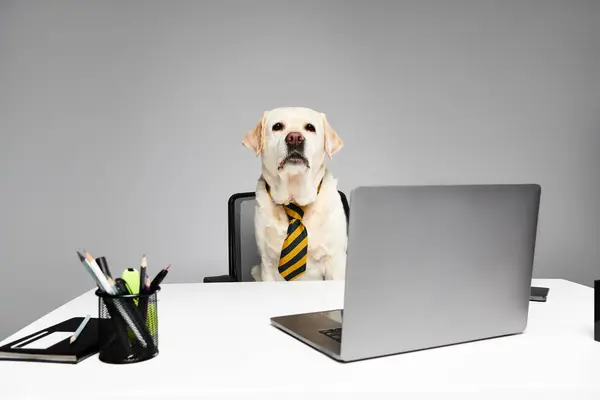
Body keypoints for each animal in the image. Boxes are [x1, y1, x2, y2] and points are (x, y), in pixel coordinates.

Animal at [241, 106, 346, 282]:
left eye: (310, 127)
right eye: (277, 126)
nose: (295, 138)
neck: (294, 201)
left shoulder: (335, 261)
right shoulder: (267, 265)